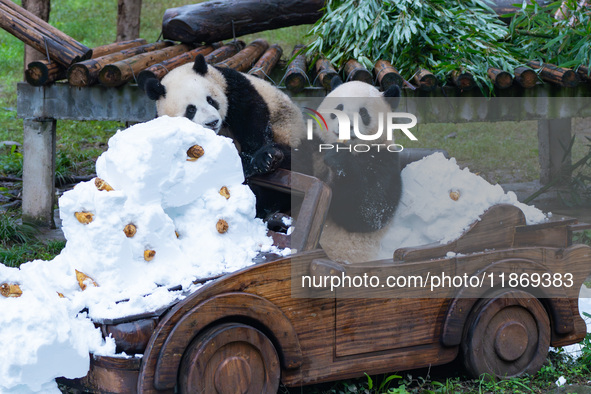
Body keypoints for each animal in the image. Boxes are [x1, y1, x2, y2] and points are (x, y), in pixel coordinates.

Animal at [146, 53, 308, 215]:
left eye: (210, 100)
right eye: (191, 109)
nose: (212, 122)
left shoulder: (233, 88)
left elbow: (252, 120)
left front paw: (252, 160)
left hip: (290, 130)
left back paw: (270, 157)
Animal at [308, 78, 404, 235]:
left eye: (363, 113)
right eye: (339, 107)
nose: (345, 125)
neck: (353, 150)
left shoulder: (384, 157)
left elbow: (369, 211)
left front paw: (338, 158)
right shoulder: (316, 146)